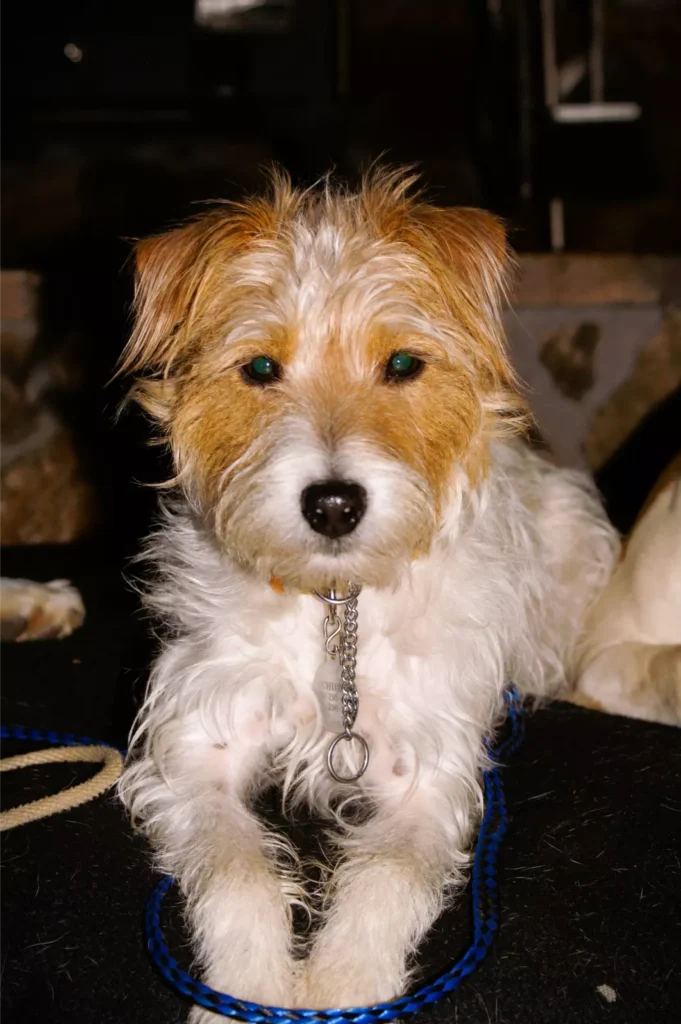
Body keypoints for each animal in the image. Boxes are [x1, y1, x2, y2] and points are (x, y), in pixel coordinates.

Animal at [115, 169, 667, 1015]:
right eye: (260, 369)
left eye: (403, 365)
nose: (333, 505)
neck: (335, 603)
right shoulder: (198, 749)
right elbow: (238, 873)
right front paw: (248, 991)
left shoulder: (424, 777)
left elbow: (382, 880)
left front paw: (342, 989)